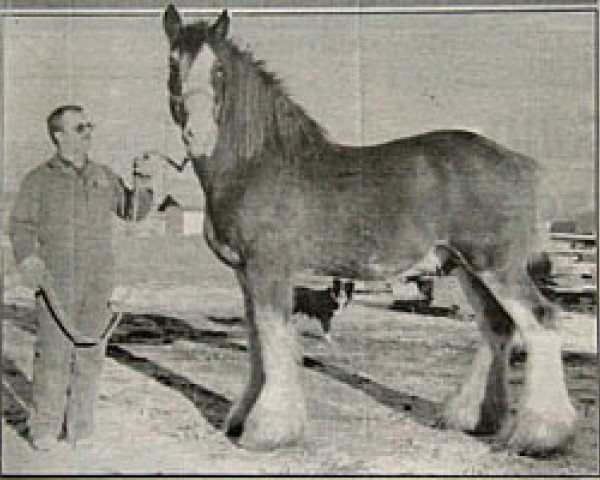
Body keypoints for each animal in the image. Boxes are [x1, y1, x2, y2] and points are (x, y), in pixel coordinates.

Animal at [161, 5, 576, 456]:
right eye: (173, 63)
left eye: (218, 70)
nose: (196, 136)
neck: (256, 166)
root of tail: (517, 161)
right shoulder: (244, 273)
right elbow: (258, 341)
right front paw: (239, 421)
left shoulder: (269, 269)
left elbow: (274, 340)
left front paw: (267, 431)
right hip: (467, 269)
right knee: (497, 327)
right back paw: (470, 418)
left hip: (495, 265)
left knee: (541, 321)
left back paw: (539, 435)